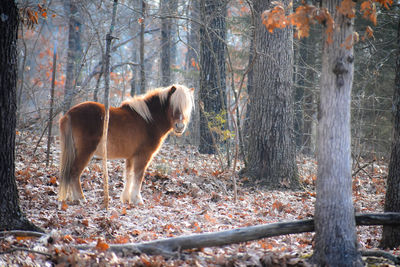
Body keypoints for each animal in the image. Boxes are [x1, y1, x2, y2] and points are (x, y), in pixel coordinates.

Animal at [57, 85, 194, 206]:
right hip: (85, 152)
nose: (180, 126)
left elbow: (129, 176)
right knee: (74, 172)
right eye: (173, 106)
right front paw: (137, 200)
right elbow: (138, 176)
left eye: (186, 108)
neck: (149, 121)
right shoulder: (143, 156)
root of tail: (69, 114)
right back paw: (80, 198)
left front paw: (127, 198)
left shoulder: (131, 157)